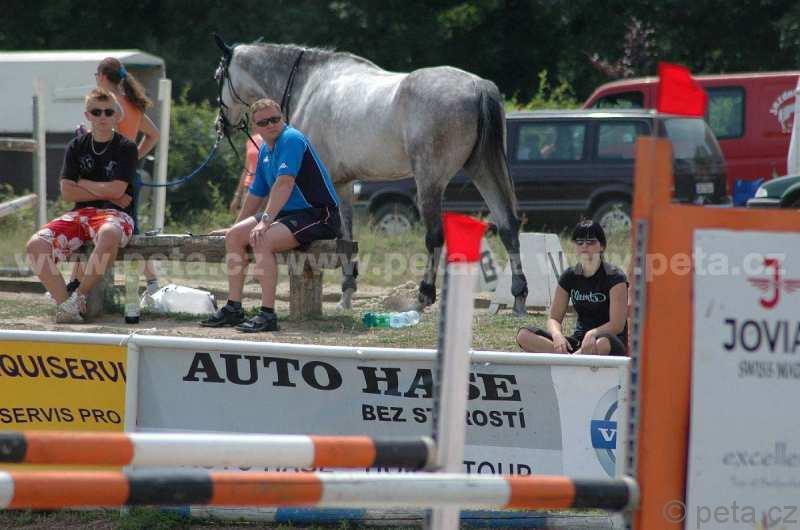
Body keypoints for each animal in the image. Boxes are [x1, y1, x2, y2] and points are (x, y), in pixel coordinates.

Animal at [214, 37, 529, 315]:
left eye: (219, 75)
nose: (220, 124)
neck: (310, 84)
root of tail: (477, 86)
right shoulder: (343, 184)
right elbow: (347, 237)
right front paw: (346, 294)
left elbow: (342, 235)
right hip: (484, 169)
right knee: (507, 227)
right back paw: (519, 298)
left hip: (430, 180)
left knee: (435, 236)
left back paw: (423, 297)